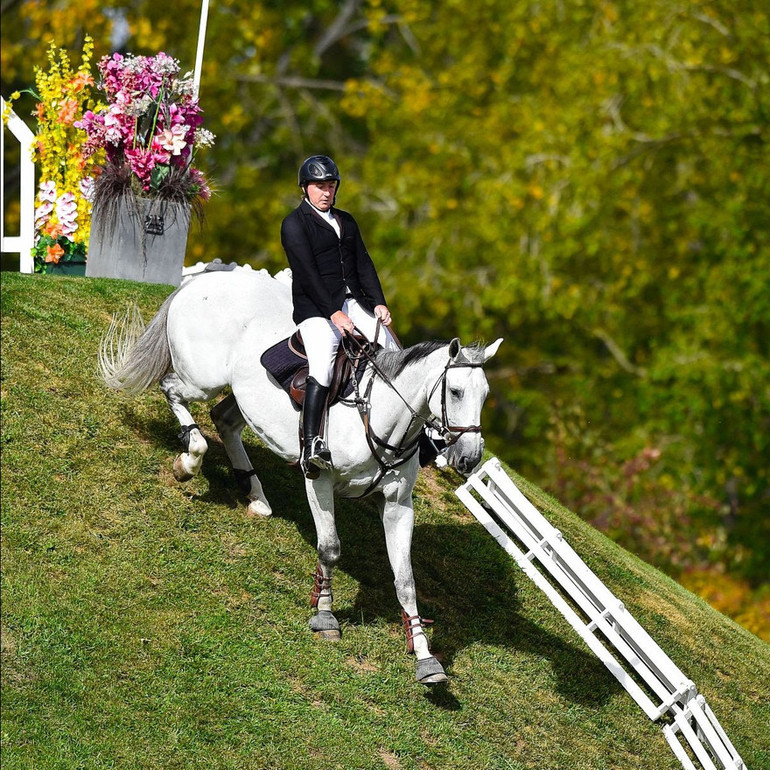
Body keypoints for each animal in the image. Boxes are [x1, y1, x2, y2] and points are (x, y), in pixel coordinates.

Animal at [99, 268, 500, 684]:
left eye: (485, 395)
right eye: (456, 392)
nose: (470, 458)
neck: (380, 414)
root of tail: (204, 281)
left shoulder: (396, 505)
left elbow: (405, 581)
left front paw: (425, 658)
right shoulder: (320, 480)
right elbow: (330, 548)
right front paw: (325, 615)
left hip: (244, 396)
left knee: (224, 419)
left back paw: (255, 494)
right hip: (201, 380)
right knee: (174, 392)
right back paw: (189, 462)